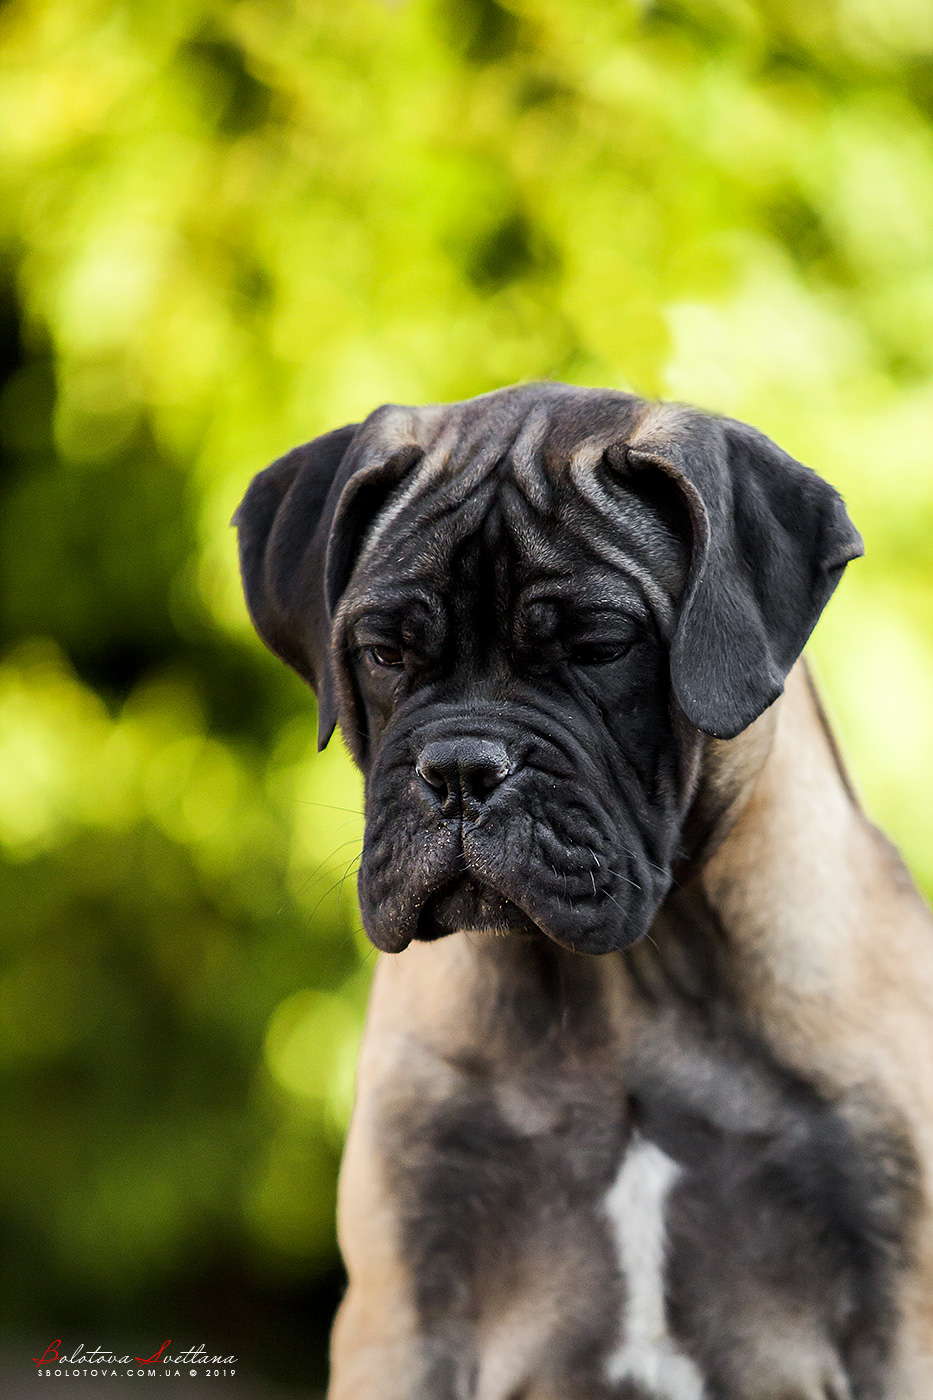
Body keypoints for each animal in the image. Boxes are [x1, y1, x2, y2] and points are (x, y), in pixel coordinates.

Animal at [233, 386, 933, 1400]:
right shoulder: (405, 1318)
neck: (623, 995)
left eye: (601, 648)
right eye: (381, 651)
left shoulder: (896, 1320)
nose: (460, 770)